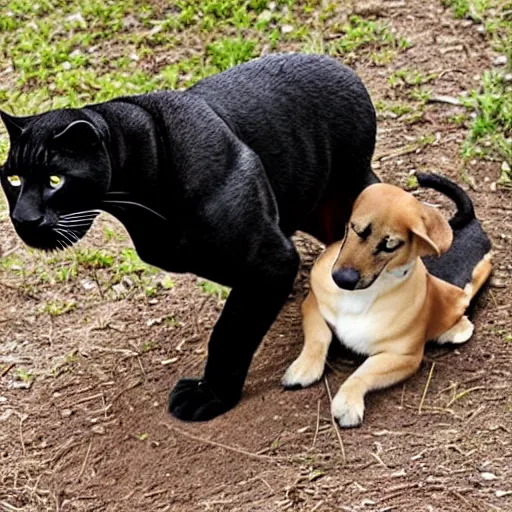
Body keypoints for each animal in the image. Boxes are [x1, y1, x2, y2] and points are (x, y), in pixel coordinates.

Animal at [284, 177, 492, 428]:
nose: (343, 279)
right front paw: (304, 368)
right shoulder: (313, 303)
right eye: (355, 229)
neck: (363, 294)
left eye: (389, 246)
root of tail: (468, 220)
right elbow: (318, 337)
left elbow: (363, 372)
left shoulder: (404, 357)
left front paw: (347, 402)